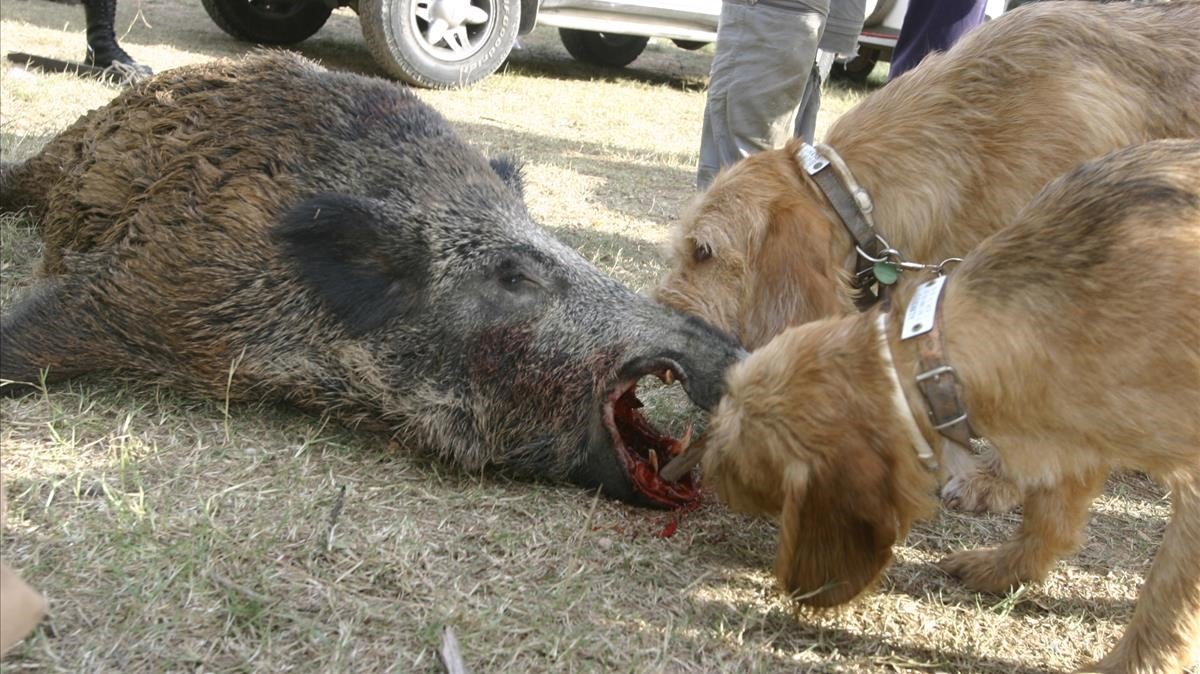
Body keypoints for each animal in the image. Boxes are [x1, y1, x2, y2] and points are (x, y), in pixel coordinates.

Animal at [700, 139, 1200, 666]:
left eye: (743, 455)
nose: (701, 469)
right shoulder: (1073, 434)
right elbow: (1049, 516)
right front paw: (1007, 568)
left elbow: (1169, 595)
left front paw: (1137, 662)